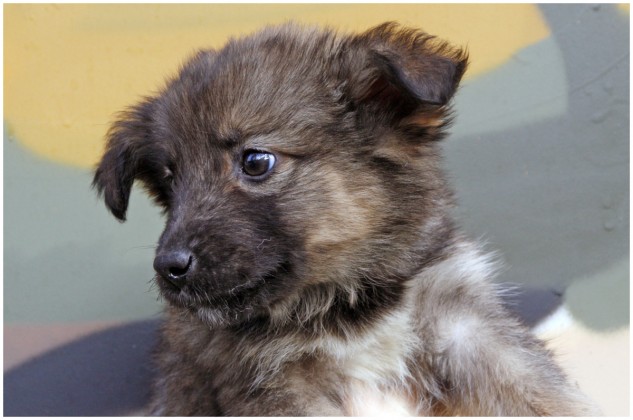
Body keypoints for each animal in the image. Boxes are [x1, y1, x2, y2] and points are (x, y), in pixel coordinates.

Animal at [93, 22, 598, 416]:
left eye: (255, 161)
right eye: (169, 182)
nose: (169, 268)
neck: (347, 304)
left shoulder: (467, 326)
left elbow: (545, 396)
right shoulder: (269, 381)